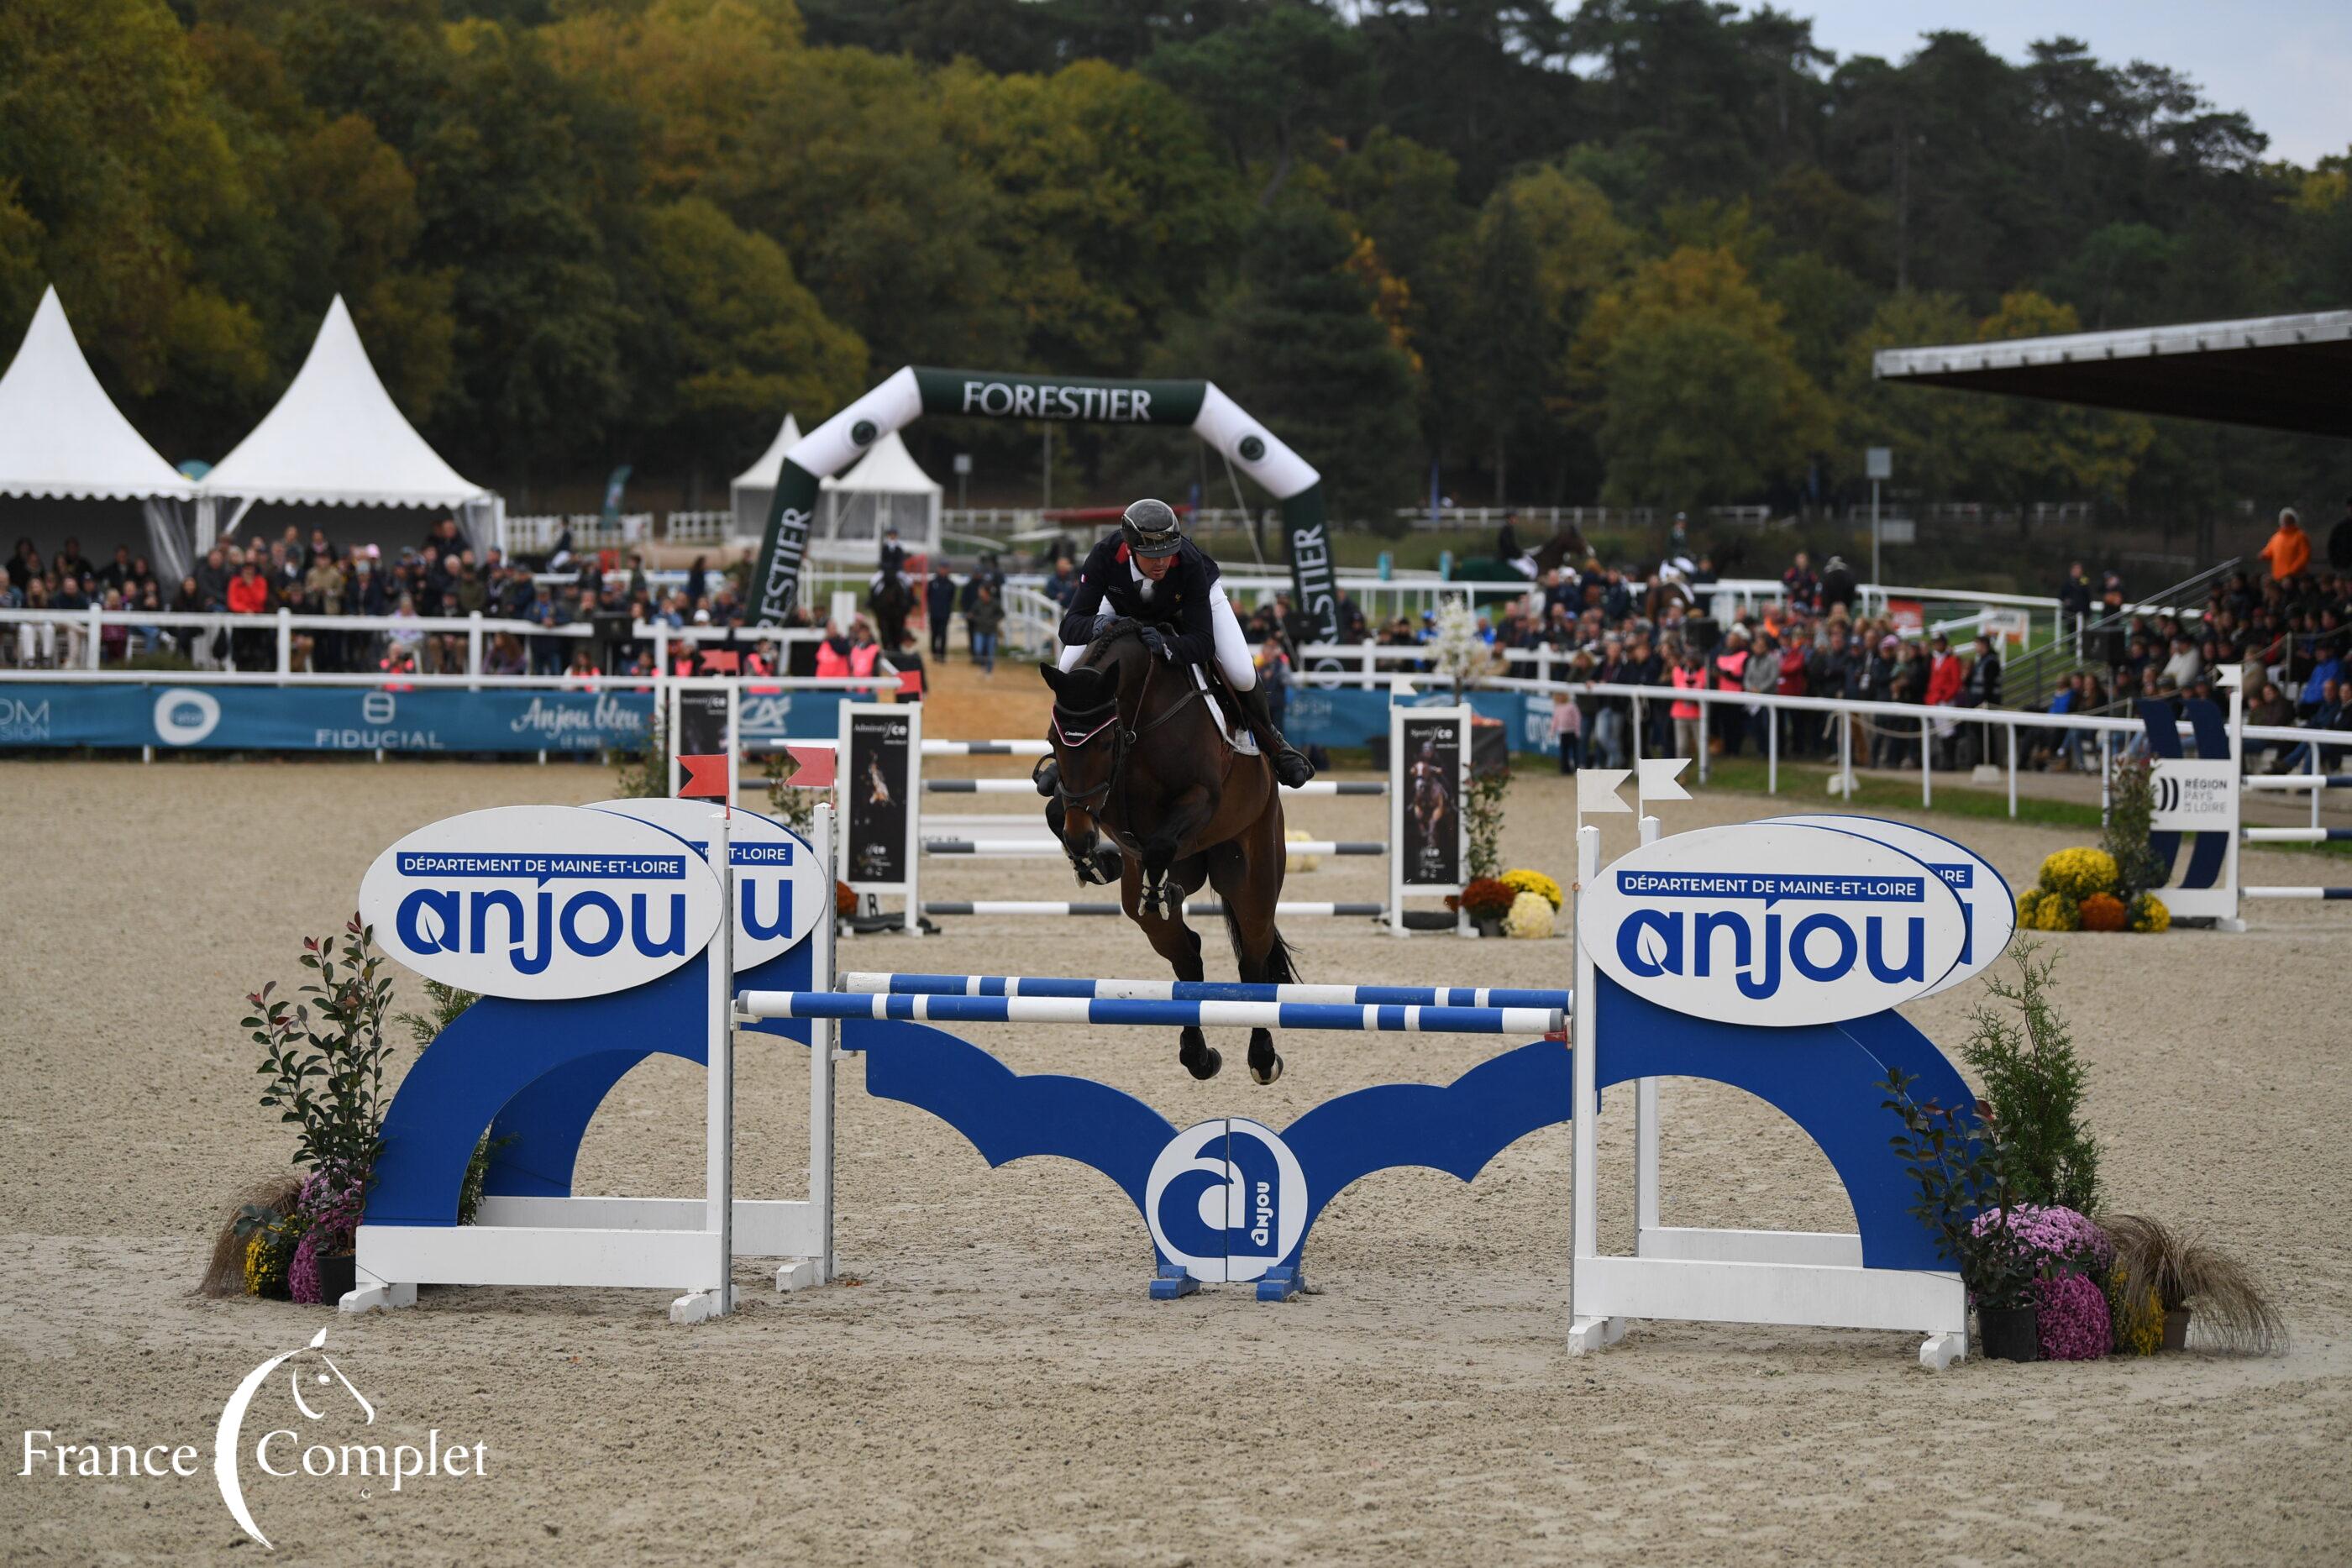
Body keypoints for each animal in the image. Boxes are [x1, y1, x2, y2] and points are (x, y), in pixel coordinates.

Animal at [1038, 621, 1297, 1084]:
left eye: (1104, 744)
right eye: (1054, 740)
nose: (1084, 839)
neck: (1139, 718)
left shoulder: (1201, 797)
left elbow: (1159, 842)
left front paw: (1150, 885)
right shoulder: (1094, 804)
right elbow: (1058, 809)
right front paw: (1095, 862)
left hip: (1253, 880)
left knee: (1253, 960)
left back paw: (1263, 1058)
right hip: (1156, 912)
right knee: (1186, 956)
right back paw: (1198, 1056)